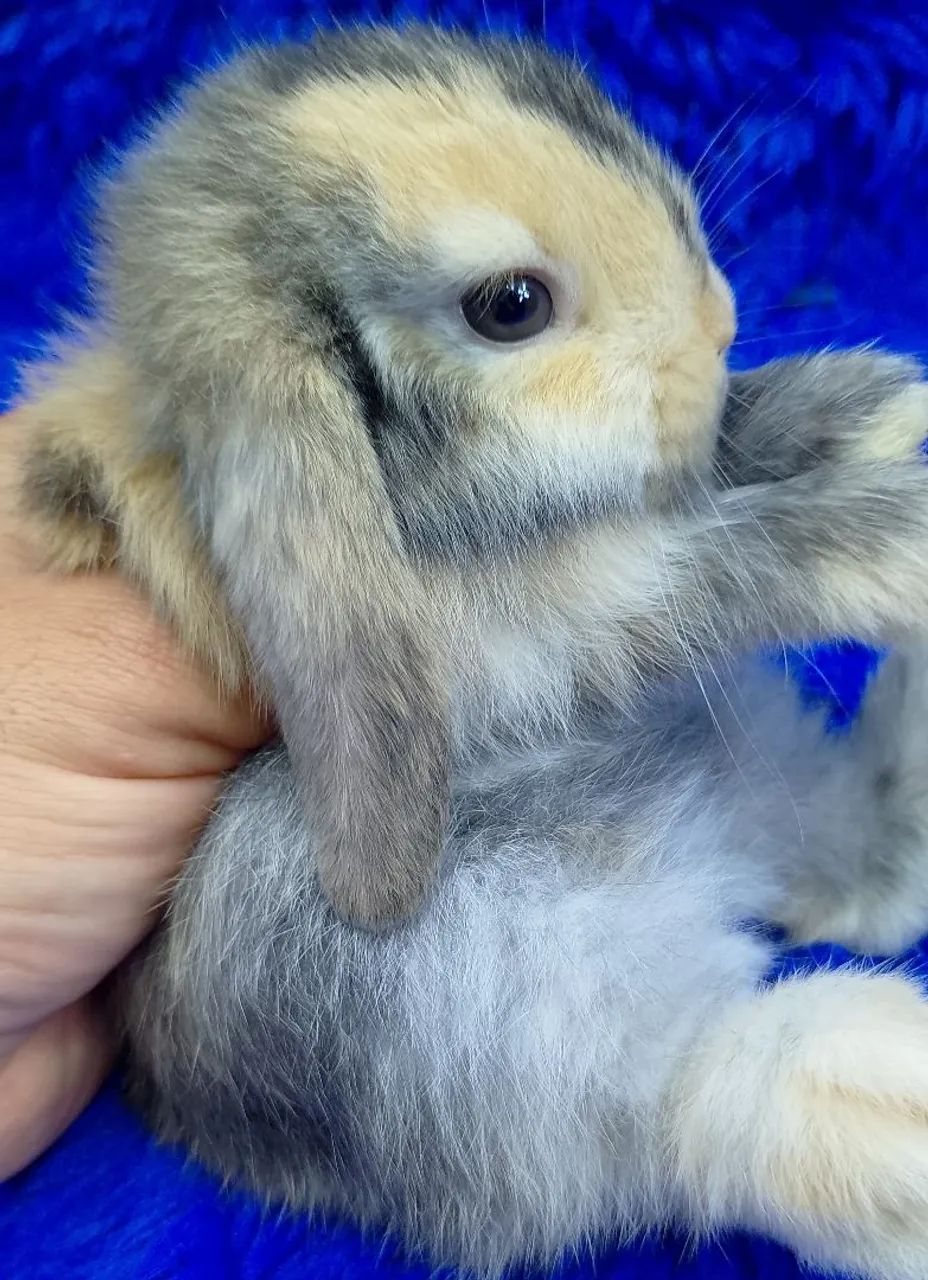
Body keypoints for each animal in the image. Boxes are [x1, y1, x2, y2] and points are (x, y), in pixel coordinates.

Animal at [12, 20, 928, 1279]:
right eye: (511, 304)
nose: (720, 327)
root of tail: (708, 870)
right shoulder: (517, 630)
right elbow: (711, 561)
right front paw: (897, 539)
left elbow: (721, 471)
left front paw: (876, 400)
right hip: (479, 1019)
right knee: (693, 1099)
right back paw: (888, 1101)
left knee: (863, 862)